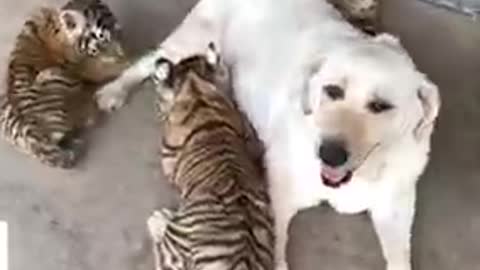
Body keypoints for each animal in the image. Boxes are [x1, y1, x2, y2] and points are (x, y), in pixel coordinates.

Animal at [95, 0, 440, 270]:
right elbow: (277, 246)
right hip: (193, 39)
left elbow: (400, 258)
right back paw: (113, 91)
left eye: (381, 106)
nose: (329, 153)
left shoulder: (396, 207)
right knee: (150, 61)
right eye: (332, 90)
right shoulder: (279, 192)